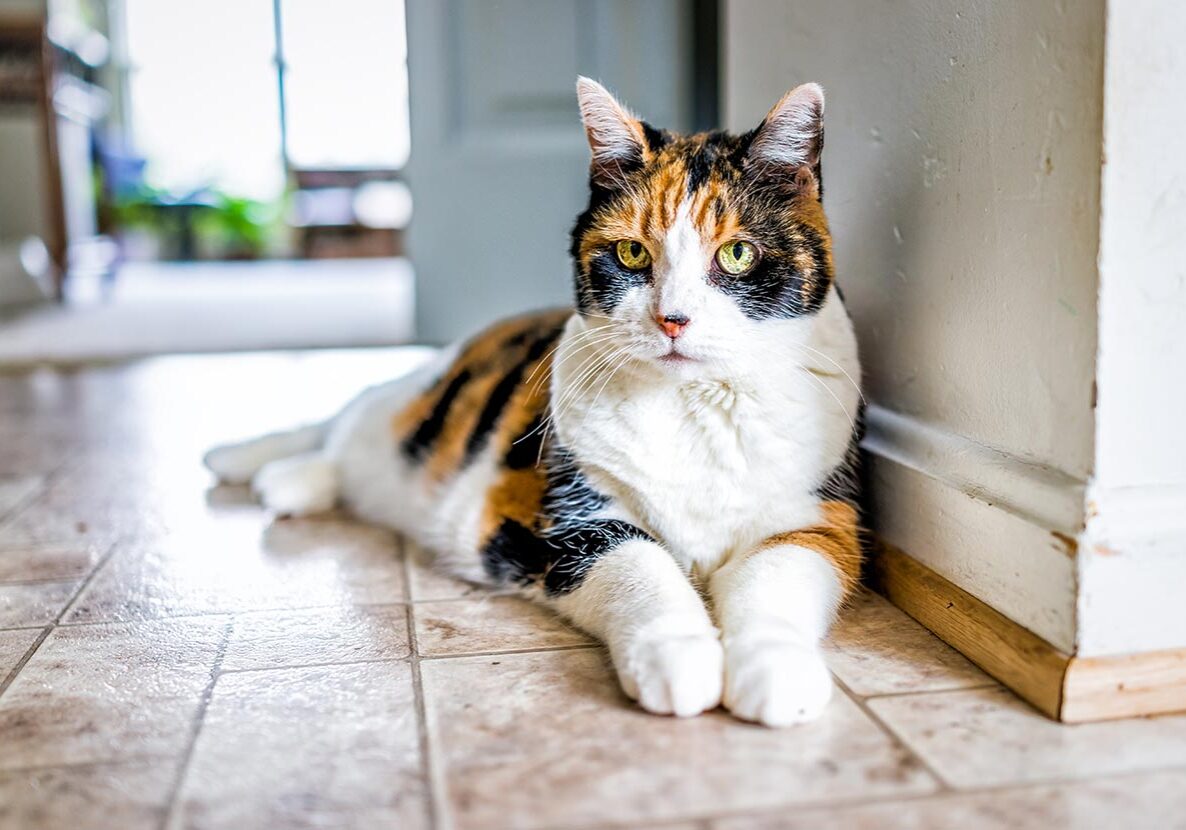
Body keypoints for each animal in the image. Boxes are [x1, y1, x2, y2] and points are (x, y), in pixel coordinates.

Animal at [206, 79, 863, 725]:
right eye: (631, 254)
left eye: (737, 254)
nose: (672, 319)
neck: (691, 405)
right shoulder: (561, 519)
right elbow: (641, 567)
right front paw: (678, 660)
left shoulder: (818, 517)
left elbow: (776, 578)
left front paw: (776, 671)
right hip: (402, 411)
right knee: (346, 421)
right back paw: (261, 469)